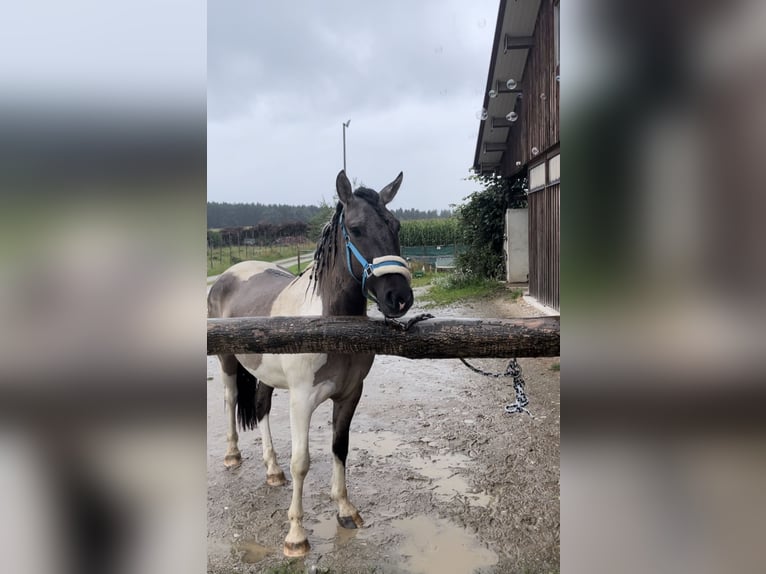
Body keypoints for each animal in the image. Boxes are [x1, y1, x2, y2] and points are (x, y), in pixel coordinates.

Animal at [207, 170, 414, 557]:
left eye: (396, 225)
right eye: (356, 228)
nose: (400, 298)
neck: (329, 324)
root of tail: (228, 274)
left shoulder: (349, 395)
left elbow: (339, 448)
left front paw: (345, 510)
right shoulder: (301, 400)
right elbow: (302, 462)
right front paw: (296, 536)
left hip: (265, 375)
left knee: (260, 408)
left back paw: (272, 470)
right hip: (227, 361)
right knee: (230, 400)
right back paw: (232, 455)